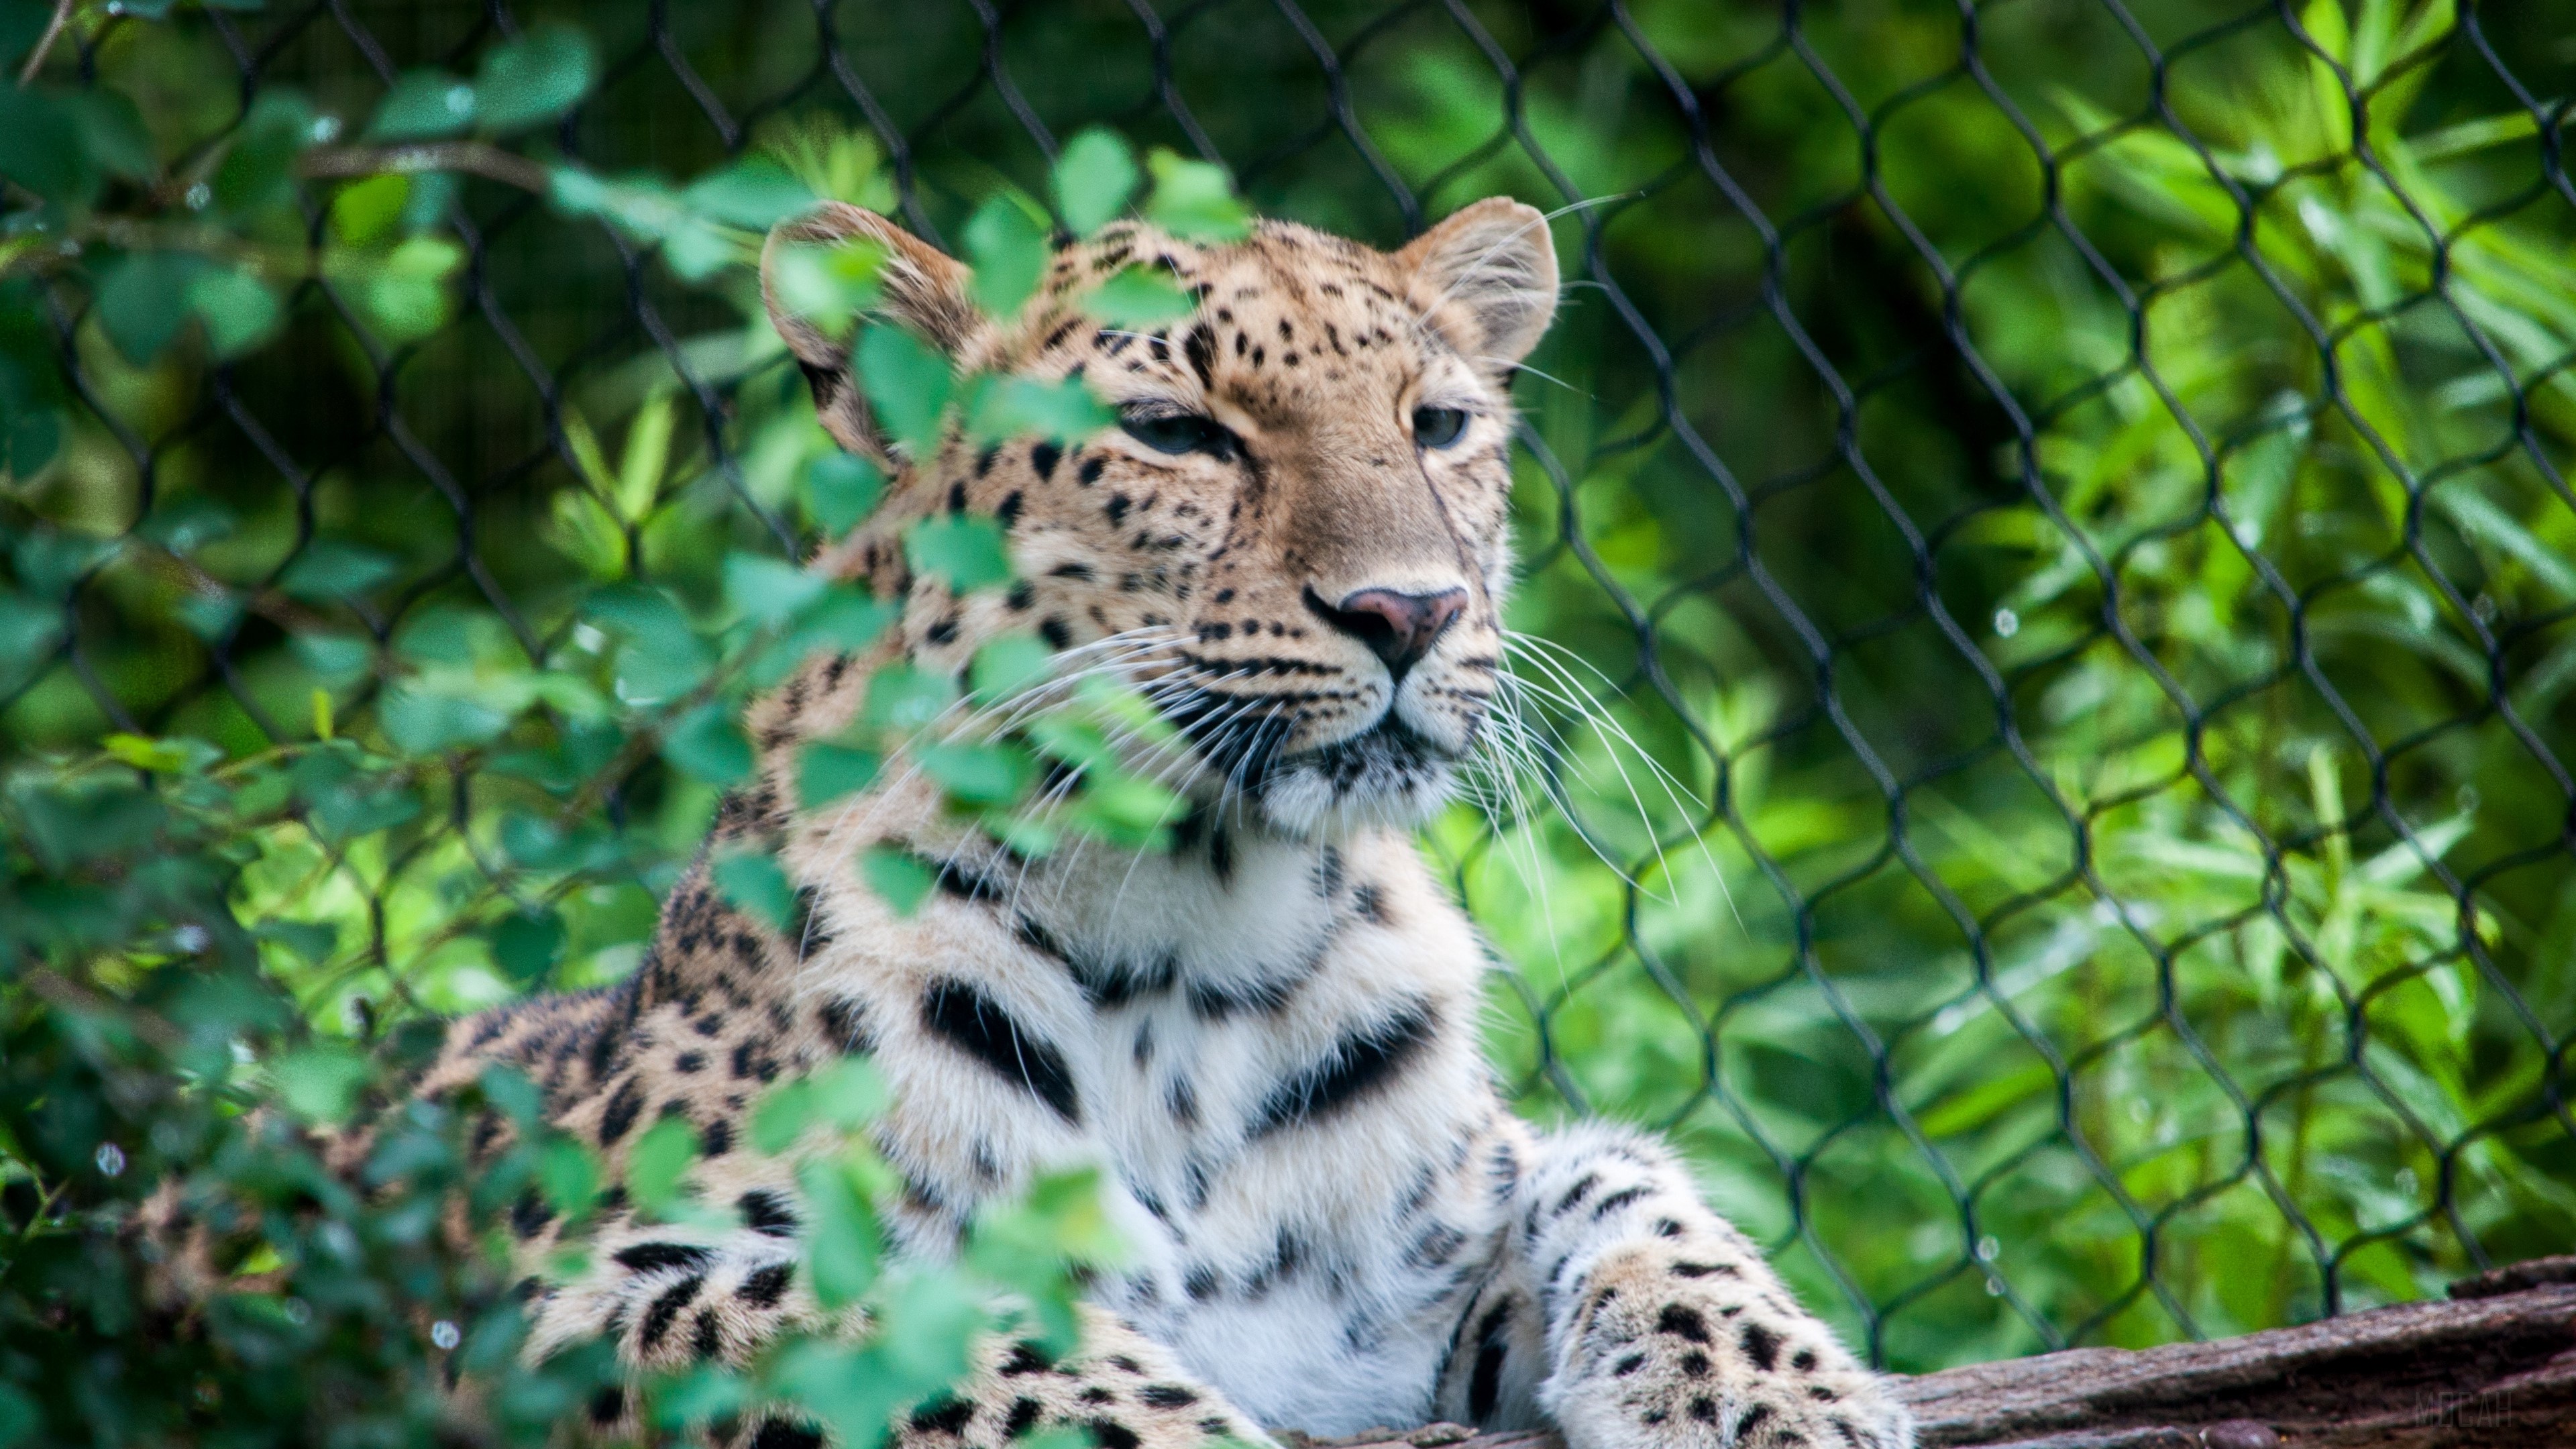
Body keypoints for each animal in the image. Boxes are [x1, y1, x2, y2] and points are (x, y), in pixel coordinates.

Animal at [364, 196, 1918, 1449]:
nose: (1411, 609)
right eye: (1177, 435)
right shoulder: (562, 1292)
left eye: (1438, 426)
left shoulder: (1428, 1289)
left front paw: (1777, 1393)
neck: (1197, 950)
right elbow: (909, 1330)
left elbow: (1626, 1181)